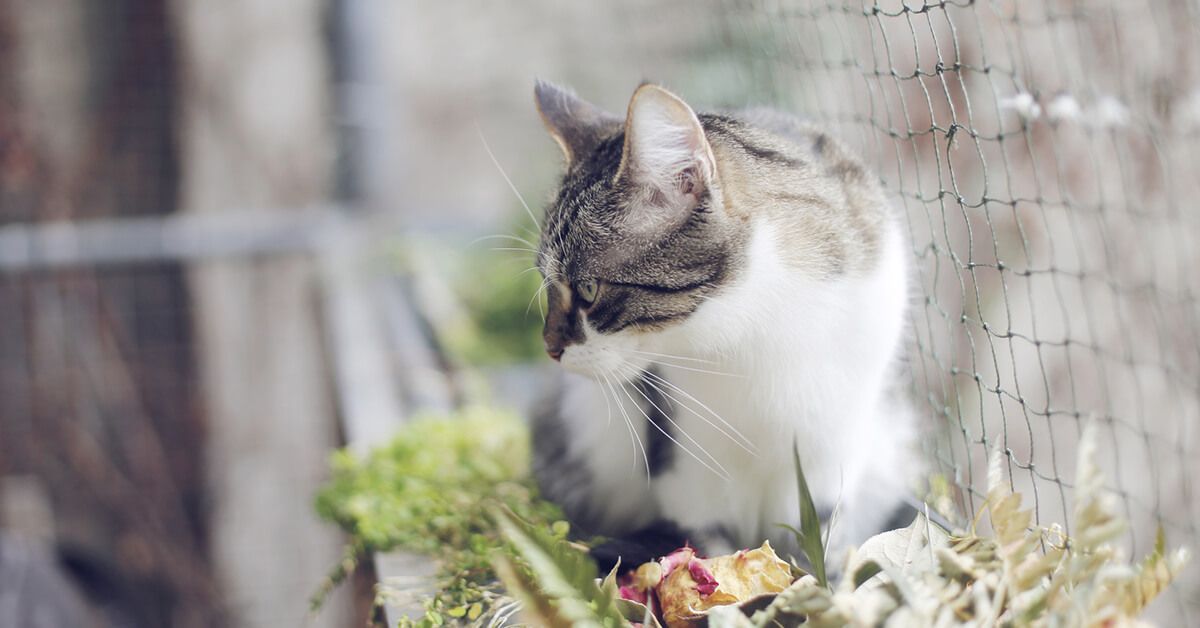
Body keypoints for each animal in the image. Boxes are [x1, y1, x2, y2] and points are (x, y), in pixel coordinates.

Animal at [530, 79, 912, 569]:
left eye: (589, 291)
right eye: (547, 284)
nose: (550, 348)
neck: (753, 329)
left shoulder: (830, 446)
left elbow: (820, 535)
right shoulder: (684, 458)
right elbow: (710, 540)